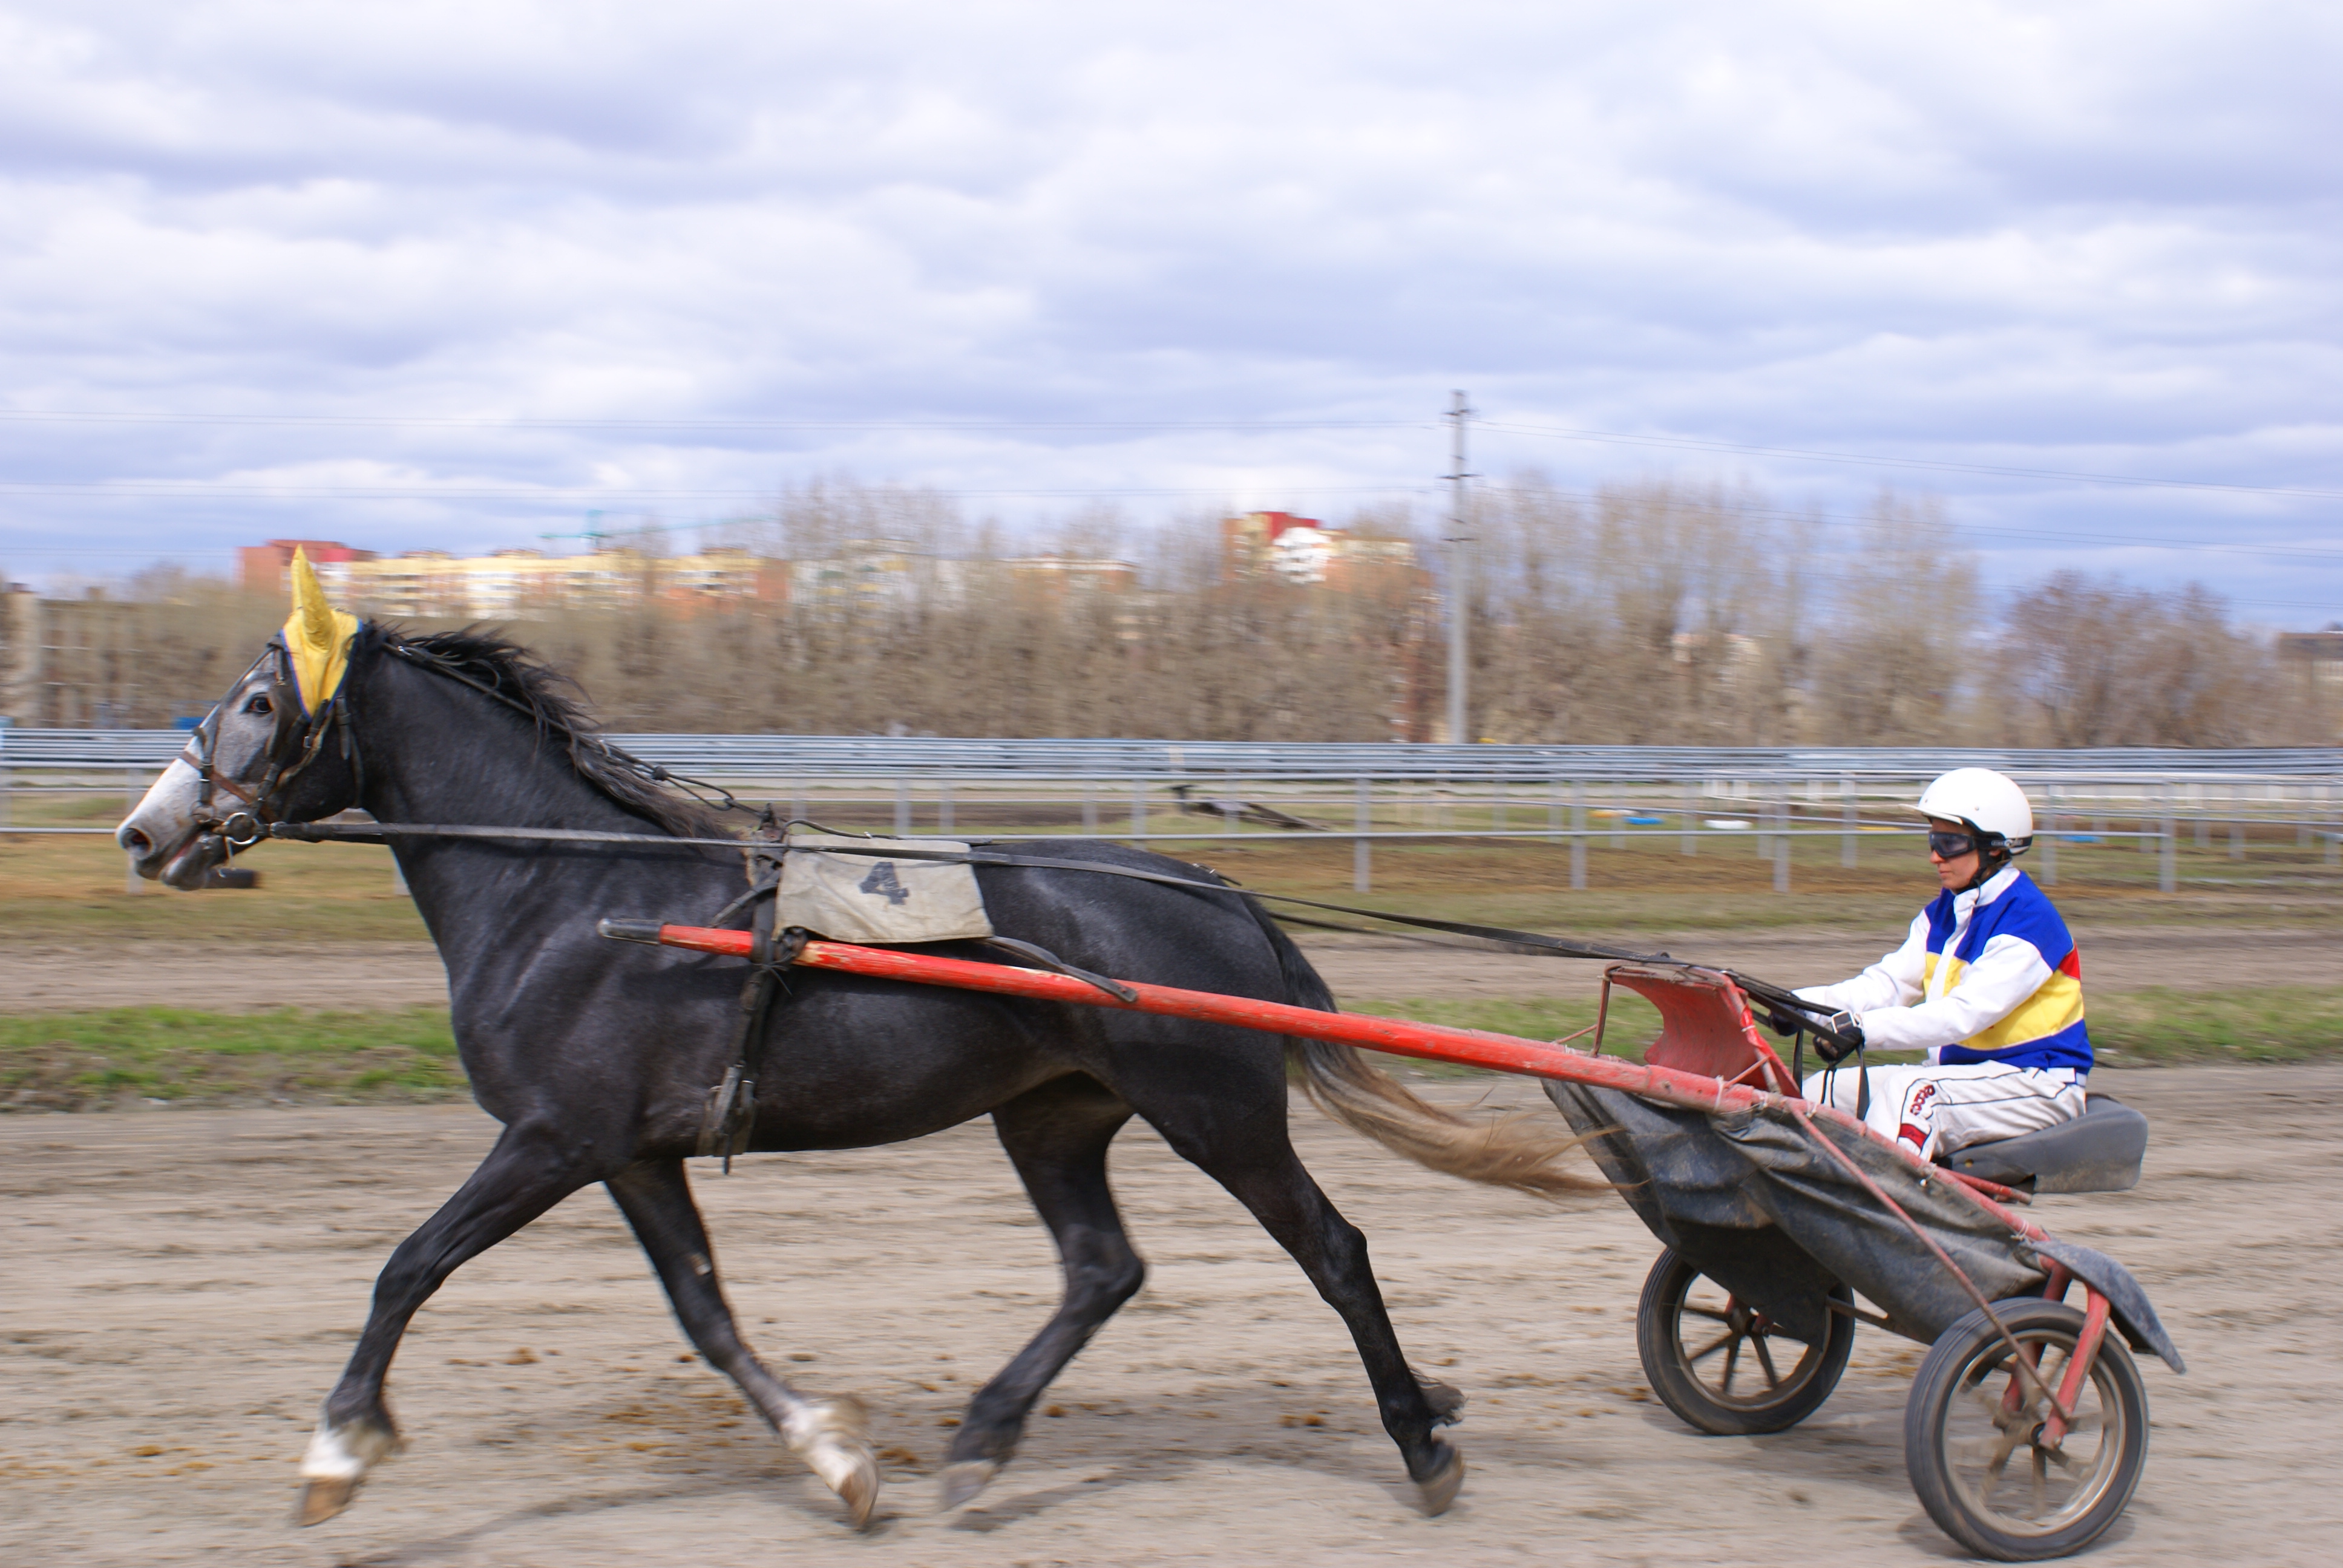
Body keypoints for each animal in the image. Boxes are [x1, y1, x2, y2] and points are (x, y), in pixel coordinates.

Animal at [117, 616, 1593, 1530]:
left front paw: (334, 1454)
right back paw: (984, 1442)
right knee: (1102, 1268)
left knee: (1333, 1251)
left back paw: (1420, 1441)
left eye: (260, 704)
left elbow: (406, 1267)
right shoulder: (631, 1152)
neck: (573, 896)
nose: (145, 832)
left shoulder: (552, 1138)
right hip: (1051, 1118)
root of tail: (1219, 891)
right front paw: (835, 1460)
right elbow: (705, 1313)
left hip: (1215, 1113)